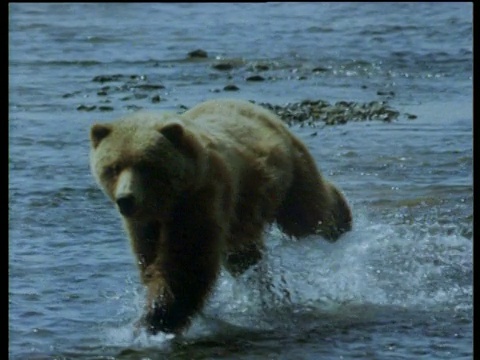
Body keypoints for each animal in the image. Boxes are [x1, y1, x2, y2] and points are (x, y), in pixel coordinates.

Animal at [90, 98, 350, 334]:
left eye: (146, 166)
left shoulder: (200, 198)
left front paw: (158, 317)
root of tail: (252, 106)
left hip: (287, 173)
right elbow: (151, 259)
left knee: (307, 214)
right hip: (243, 214)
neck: (168, 202)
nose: (126, 199)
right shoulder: (144, 224)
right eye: (113, 167)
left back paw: (341, 219)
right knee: (243, 255)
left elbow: (186, 259)